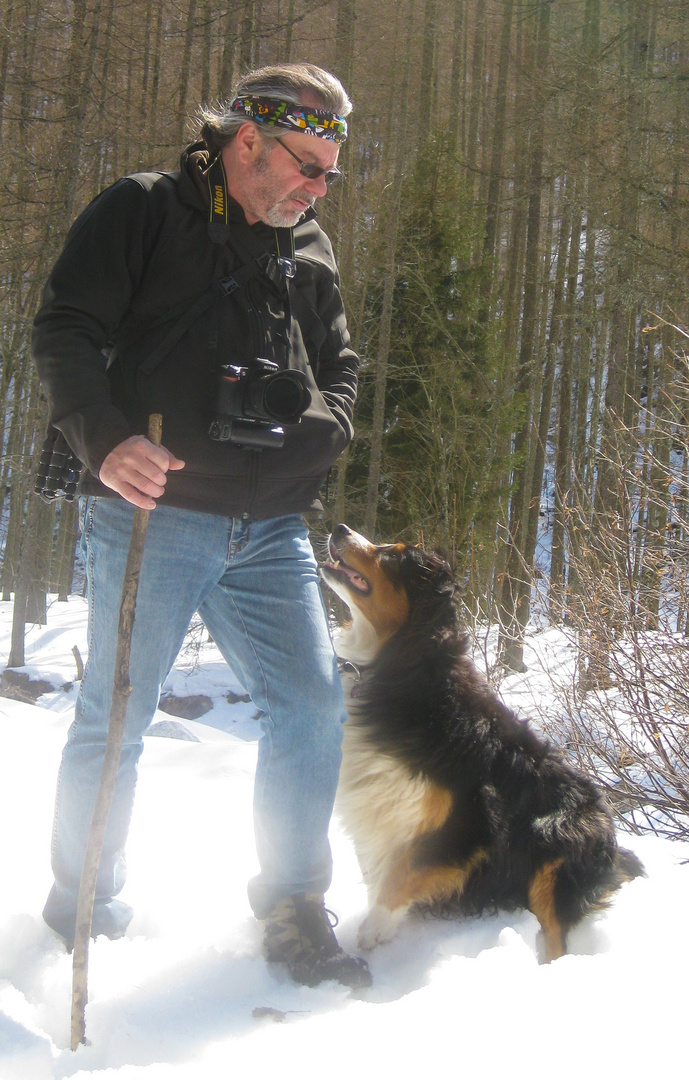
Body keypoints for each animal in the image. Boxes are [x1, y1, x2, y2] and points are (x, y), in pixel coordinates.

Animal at [321, 524, 643, 963]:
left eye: (393, 555)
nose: (339, 529)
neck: (407, 667)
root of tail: (610, 828)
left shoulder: (472, 821)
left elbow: (406, 871)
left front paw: (376, 928)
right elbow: (388, 869)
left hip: (556, 846)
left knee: (556, 937)